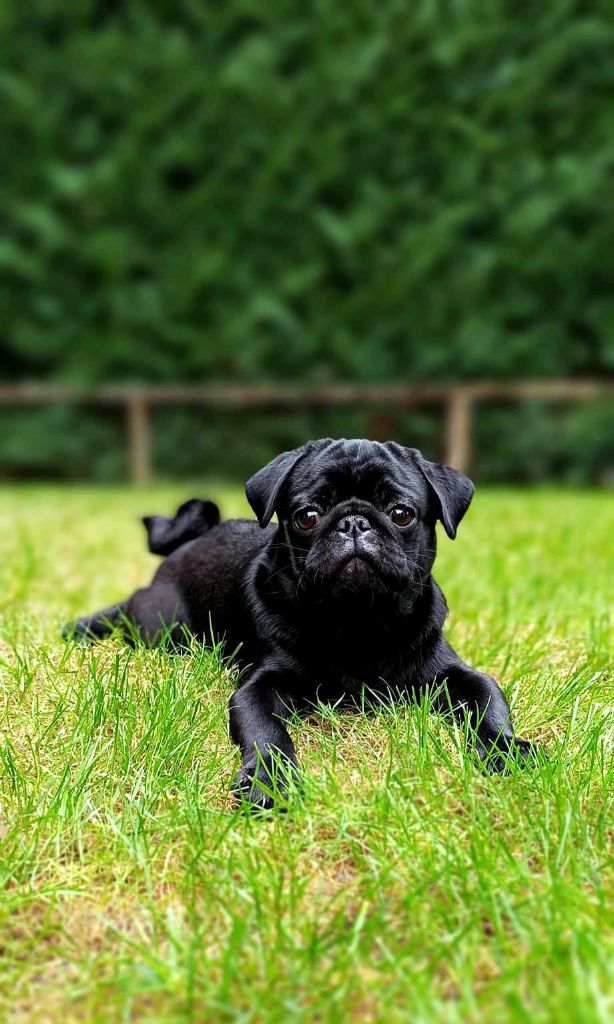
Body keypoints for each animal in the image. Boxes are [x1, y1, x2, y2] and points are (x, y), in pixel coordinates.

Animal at [64, 439, 537, 807]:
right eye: (307, 516)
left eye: (401, 513)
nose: (353, 521)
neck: (357, 622)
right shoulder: (259, 688)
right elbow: (266, 732)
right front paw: (269, 781)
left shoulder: (454, 674)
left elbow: (489, 702)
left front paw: (507, 752)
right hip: (159, 623)